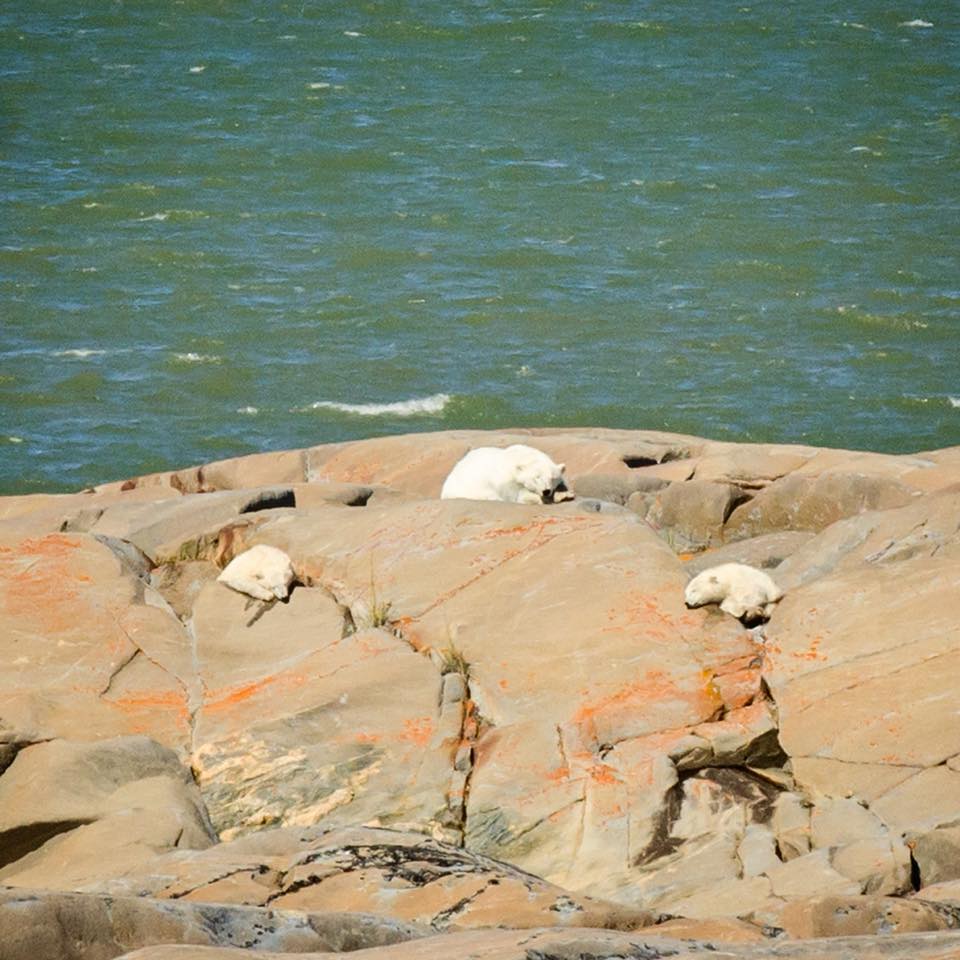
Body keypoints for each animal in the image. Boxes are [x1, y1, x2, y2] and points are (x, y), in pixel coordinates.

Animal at [440, 444, 573, 505]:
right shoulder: (504, 481)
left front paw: (564, 494)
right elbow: (518, 495)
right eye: (536, 478)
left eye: (553, 478)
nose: (546, 491)